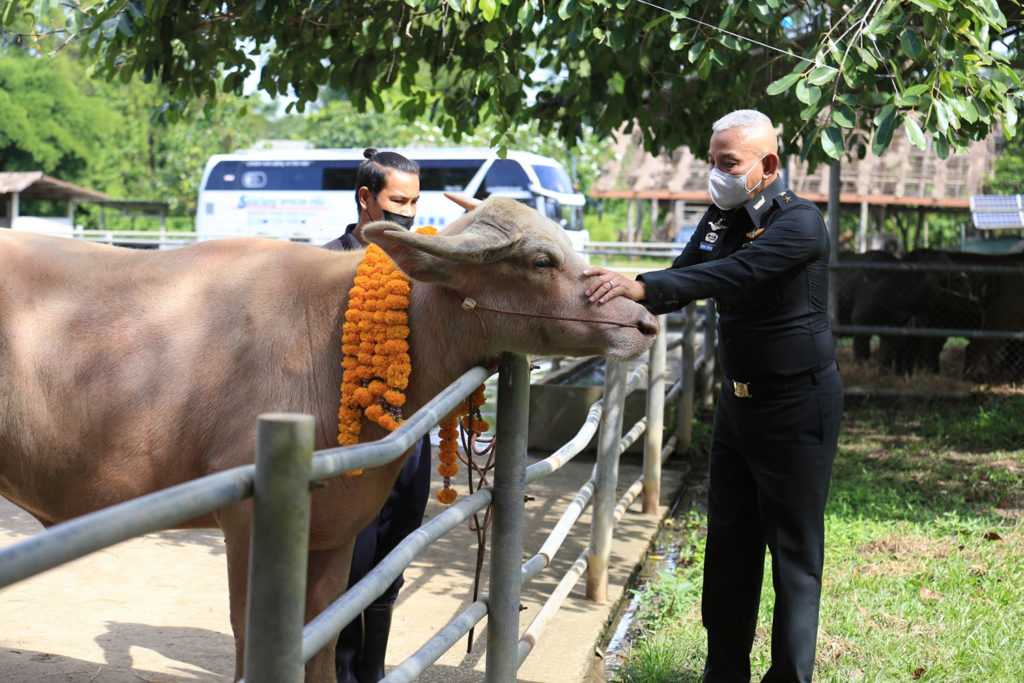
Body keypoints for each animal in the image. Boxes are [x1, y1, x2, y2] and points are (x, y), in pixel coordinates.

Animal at [0, 194, 655, 679]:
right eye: (542, 261)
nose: (645, 321)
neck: (329, 334)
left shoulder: (336, 535)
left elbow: (321, 644)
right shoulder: (246, 525)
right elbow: (251, 642)